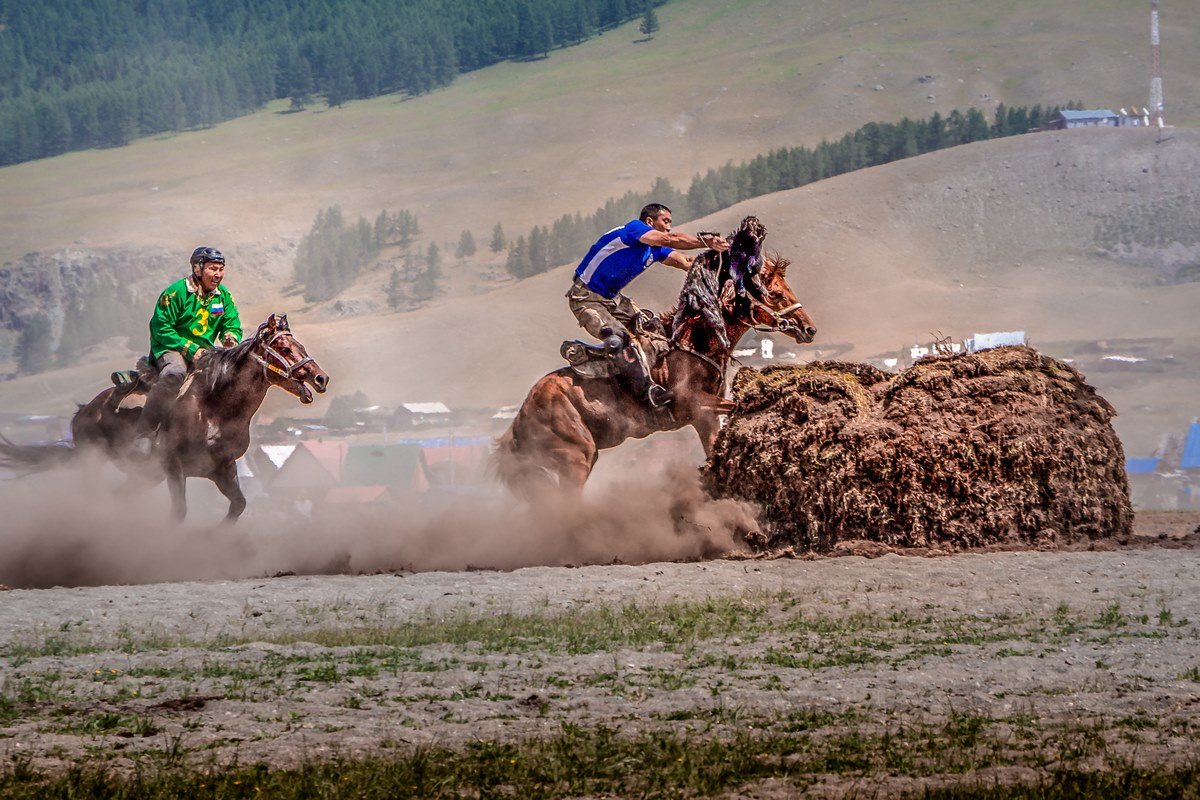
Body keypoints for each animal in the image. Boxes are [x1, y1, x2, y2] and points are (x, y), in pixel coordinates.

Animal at [0, 311, 328, 525]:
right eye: (284, 348)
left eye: (300, 346)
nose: (320, 378)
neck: (214, 409)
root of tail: (84, 410)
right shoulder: (173, 467)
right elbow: (178, 513)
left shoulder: (221, 468)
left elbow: (238, 506)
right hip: (94, 462)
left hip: (144, 476)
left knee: (116, 497)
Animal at [494, 215, 816, 496]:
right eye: (775, 294)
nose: (809, 329)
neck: (693, 343)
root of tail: (519, 419)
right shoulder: (692, 403)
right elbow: (737, 405)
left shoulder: (705, 417)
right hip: (576, 458)